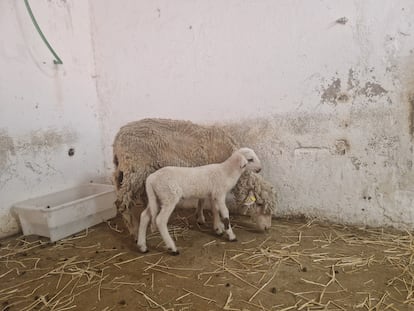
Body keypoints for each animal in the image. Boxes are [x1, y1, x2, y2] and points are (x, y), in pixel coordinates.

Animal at [111, 118, 276, 238]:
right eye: (260, 204)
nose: (267, 228)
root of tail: (118, 137)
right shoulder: (214, 179)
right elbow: (214, 206)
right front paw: (218, 227)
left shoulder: (205, 178)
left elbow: (201, 199)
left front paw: (200, 217)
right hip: (135, 168)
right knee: (121, 202)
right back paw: (133, 230)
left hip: (136, 171)